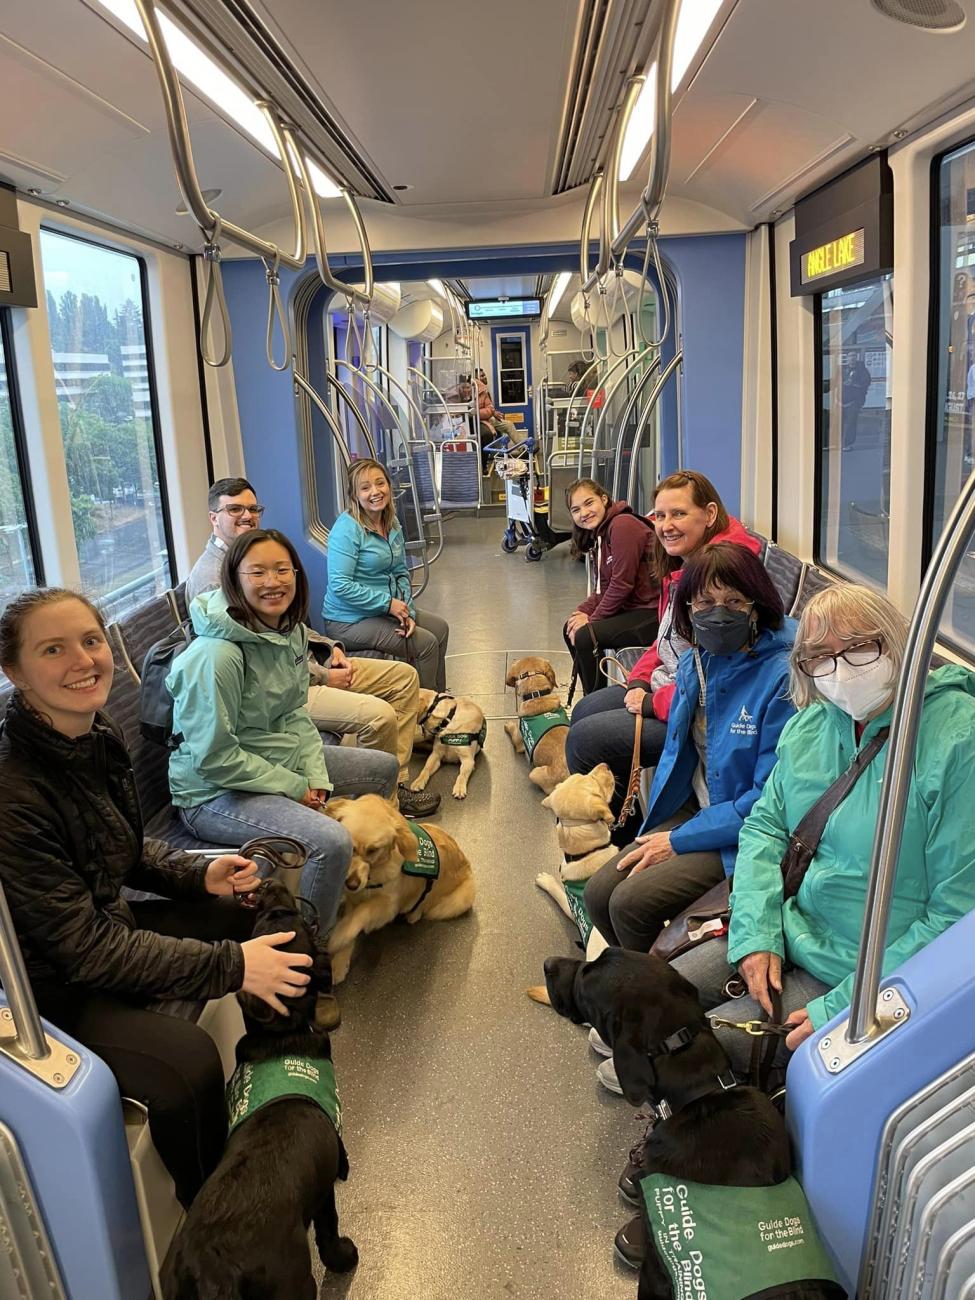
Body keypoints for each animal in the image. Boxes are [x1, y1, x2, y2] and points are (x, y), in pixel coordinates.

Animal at [162, 878, 361, 1294]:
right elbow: (329, 1229)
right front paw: (343, 1258)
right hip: (294, 1284)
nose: (269, 883)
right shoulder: (326, 1185)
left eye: (271, 917)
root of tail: (212, 1271)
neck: (281, 1036)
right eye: (282, 916)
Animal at [325, 790, 478, 982]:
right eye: (349, 846)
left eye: (373, 850)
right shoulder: (354, 899)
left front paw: (338, 936)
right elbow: (350, 922)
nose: (351, 884)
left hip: (459, 899)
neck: (374, 874)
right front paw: (339, 963)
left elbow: (362, 913)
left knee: (426, 904)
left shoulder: (388, 906)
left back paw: (414, 914)